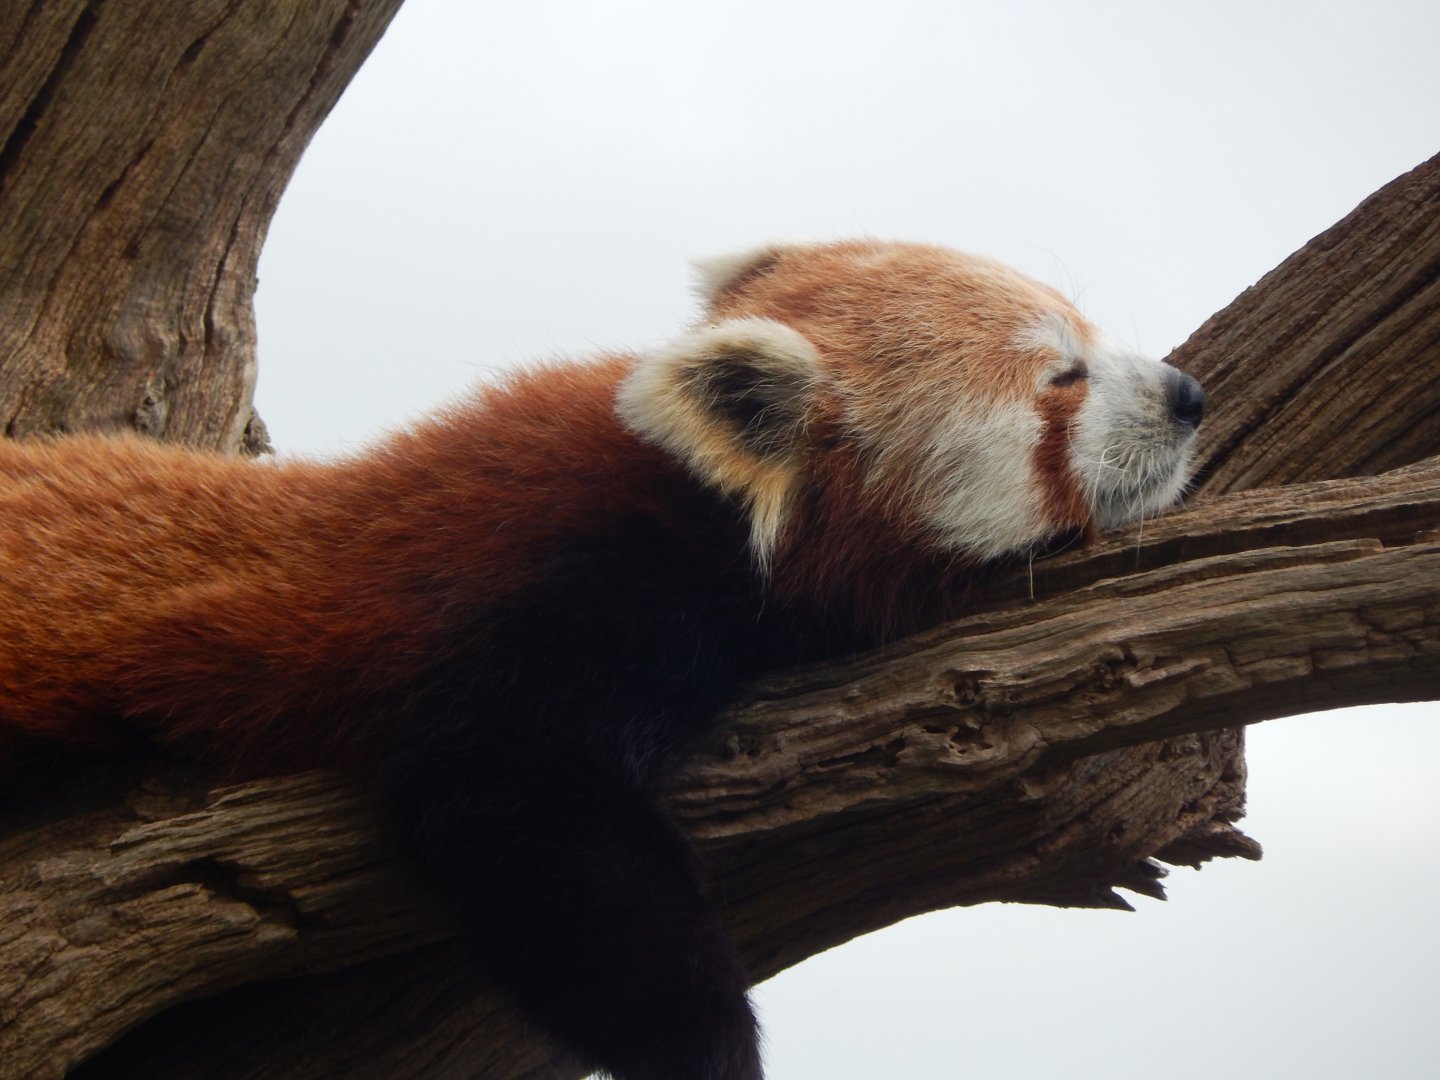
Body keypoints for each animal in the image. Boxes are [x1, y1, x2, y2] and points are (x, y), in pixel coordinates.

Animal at [0, 239, 1204, 1080]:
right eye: (1062, 378)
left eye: (1093, 338)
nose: (1186, 394)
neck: (697, 496)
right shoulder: (539, 593)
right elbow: (517, 805)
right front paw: (711, 1052)